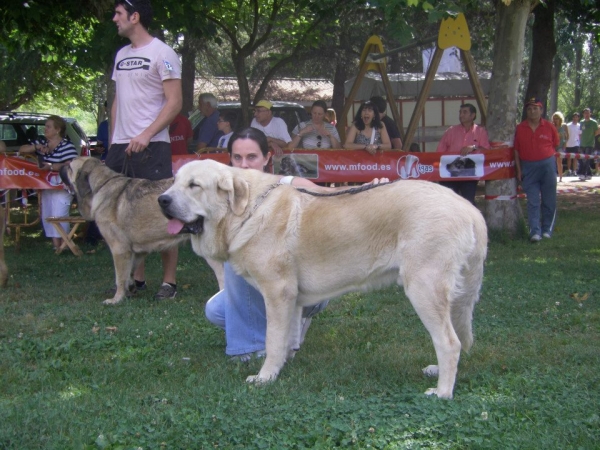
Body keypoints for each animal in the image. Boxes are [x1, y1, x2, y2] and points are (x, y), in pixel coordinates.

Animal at [61, 158, 225, 306]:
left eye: (69, 166)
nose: (58, 167)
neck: (101, 186)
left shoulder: (119, 249)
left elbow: (120, 277)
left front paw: (116, 299)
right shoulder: (136, 251)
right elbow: (130, 273)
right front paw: (130, 290)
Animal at [158, 159, 488, 398]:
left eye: (194, 185)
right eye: (173, 182)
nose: (162, 200)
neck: (247, 209)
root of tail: (469, 208)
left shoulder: (277, 293)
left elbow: (273, 339)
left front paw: (265, 377)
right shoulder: (291, 298)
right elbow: (286, 337)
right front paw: (281, 367)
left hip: (423, 288)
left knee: (449, 342)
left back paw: (442, 392)